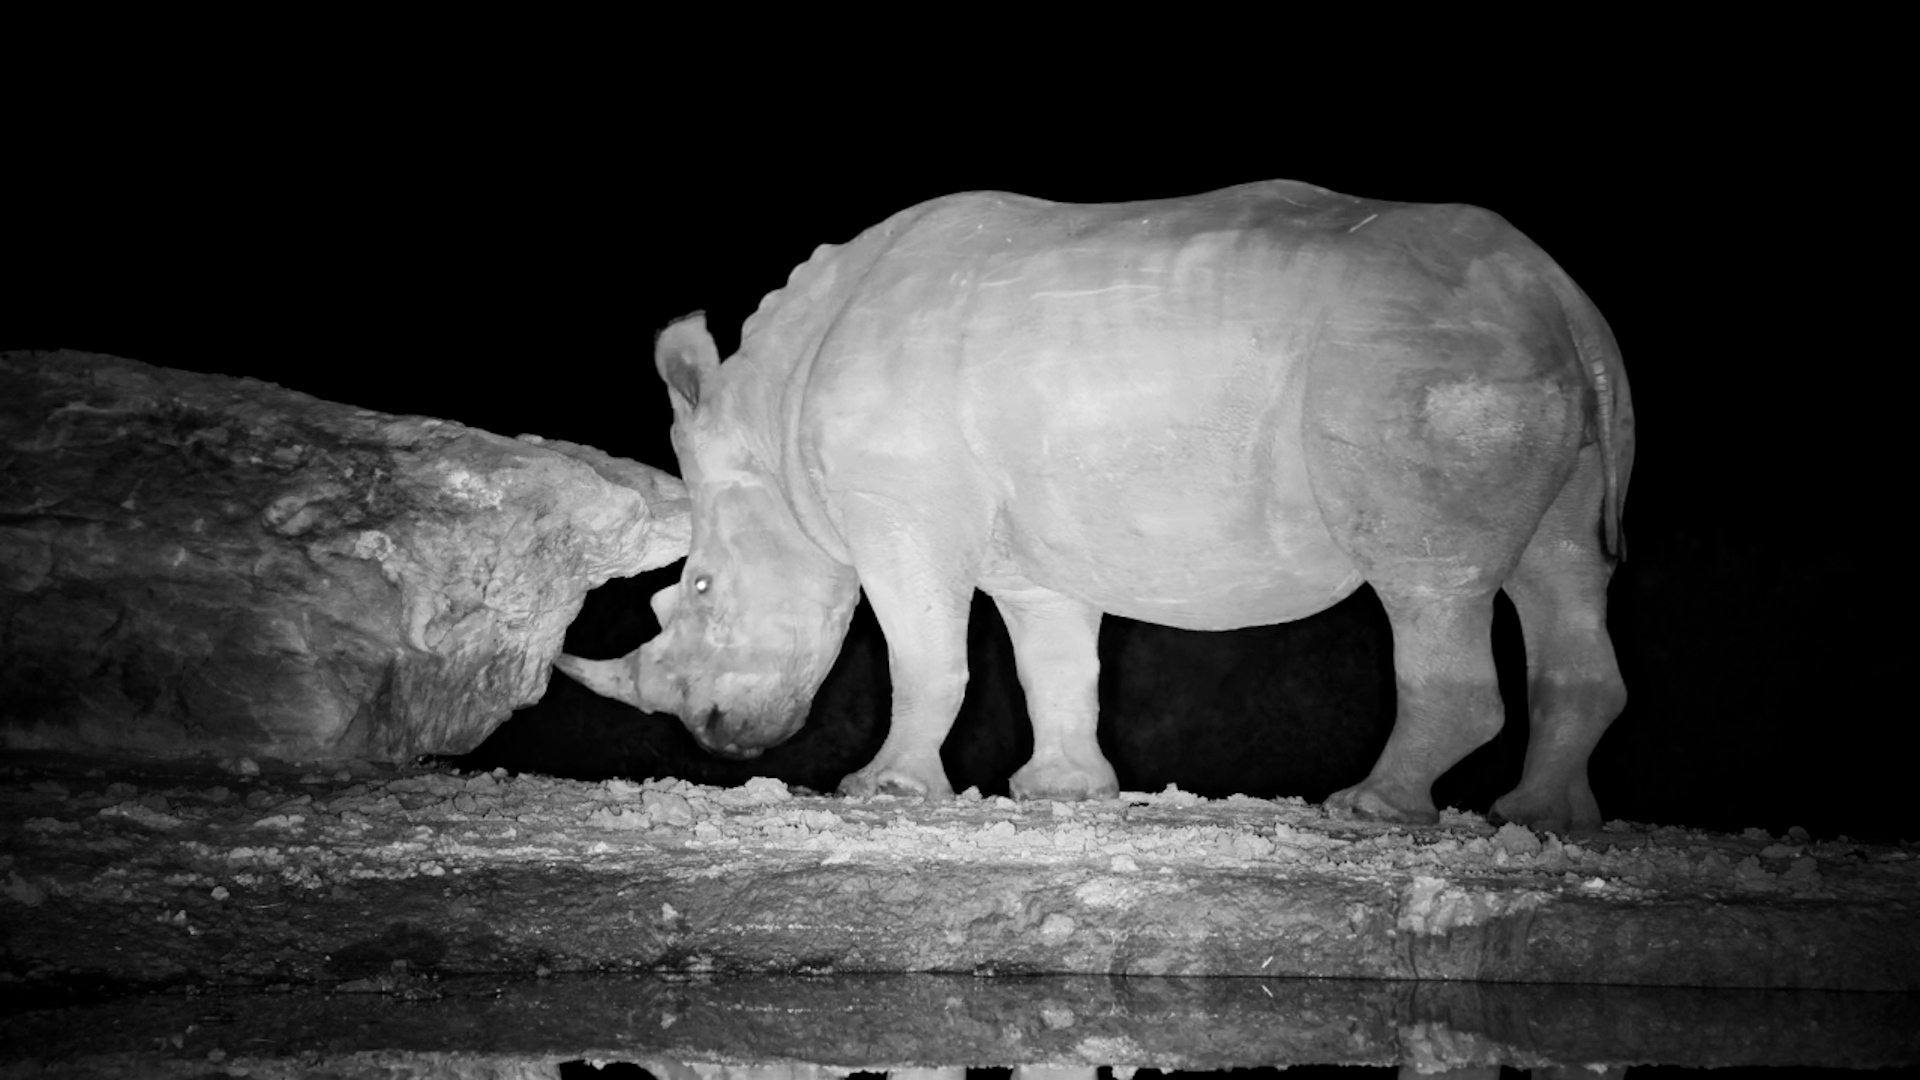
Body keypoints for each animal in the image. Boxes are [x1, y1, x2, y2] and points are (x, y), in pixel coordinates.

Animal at [557, 179, 1633, 834]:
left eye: (697, 589)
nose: (713, 736)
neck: (772, 423)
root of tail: (1564, 295)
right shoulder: (1031, 547)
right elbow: (1055, 663)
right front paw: (1061, 793)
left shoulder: (900, 511)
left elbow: (923, 655)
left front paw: (882, 789)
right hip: (1500, 357)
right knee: (1560, 567)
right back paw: (1543, 820)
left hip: (1417, 365)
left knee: (1430, 577)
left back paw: (1368, 806)